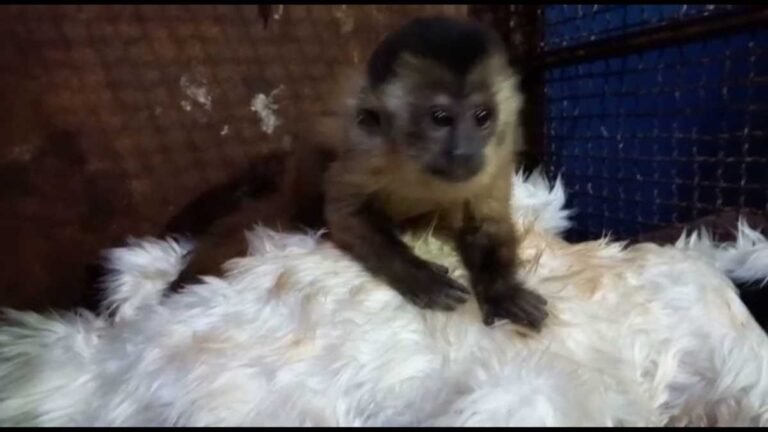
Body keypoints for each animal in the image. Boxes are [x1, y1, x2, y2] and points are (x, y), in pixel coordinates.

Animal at [321, 16, 548, 331]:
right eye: (441, 119)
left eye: (481, 116)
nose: (463, 150)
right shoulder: (365, 146)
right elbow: (345, 214)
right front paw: (420, 277)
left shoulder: (500, 154)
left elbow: (486, 223)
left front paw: (502, 292)